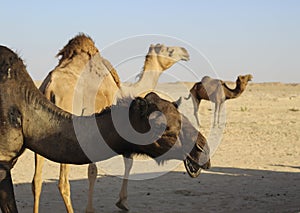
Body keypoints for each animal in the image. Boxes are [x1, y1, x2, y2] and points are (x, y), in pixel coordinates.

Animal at [0, 45, 211, 213]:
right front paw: (119, 203)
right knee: (62, 182)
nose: (202, 149)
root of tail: (50, 86)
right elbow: (115, 165)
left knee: (37, 180)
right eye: (161, 125)